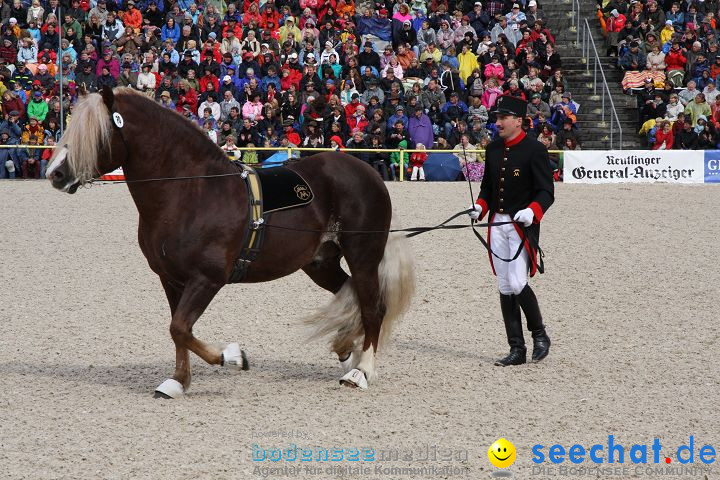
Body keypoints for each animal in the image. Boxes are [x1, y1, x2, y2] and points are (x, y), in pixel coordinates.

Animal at [46, 87, 416, 398]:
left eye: (96, 133)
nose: (55, 174)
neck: (192, 191)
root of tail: (368, 173)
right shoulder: (171, 279)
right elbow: (178, 329)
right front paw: (177, 382)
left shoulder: (207, 279)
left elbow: (180, 328)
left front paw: (234, 358)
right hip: (320, 263)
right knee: (349, 293)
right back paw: (346, 351)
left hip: (363, 255)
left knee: (372, 307)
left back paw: (361, 371)